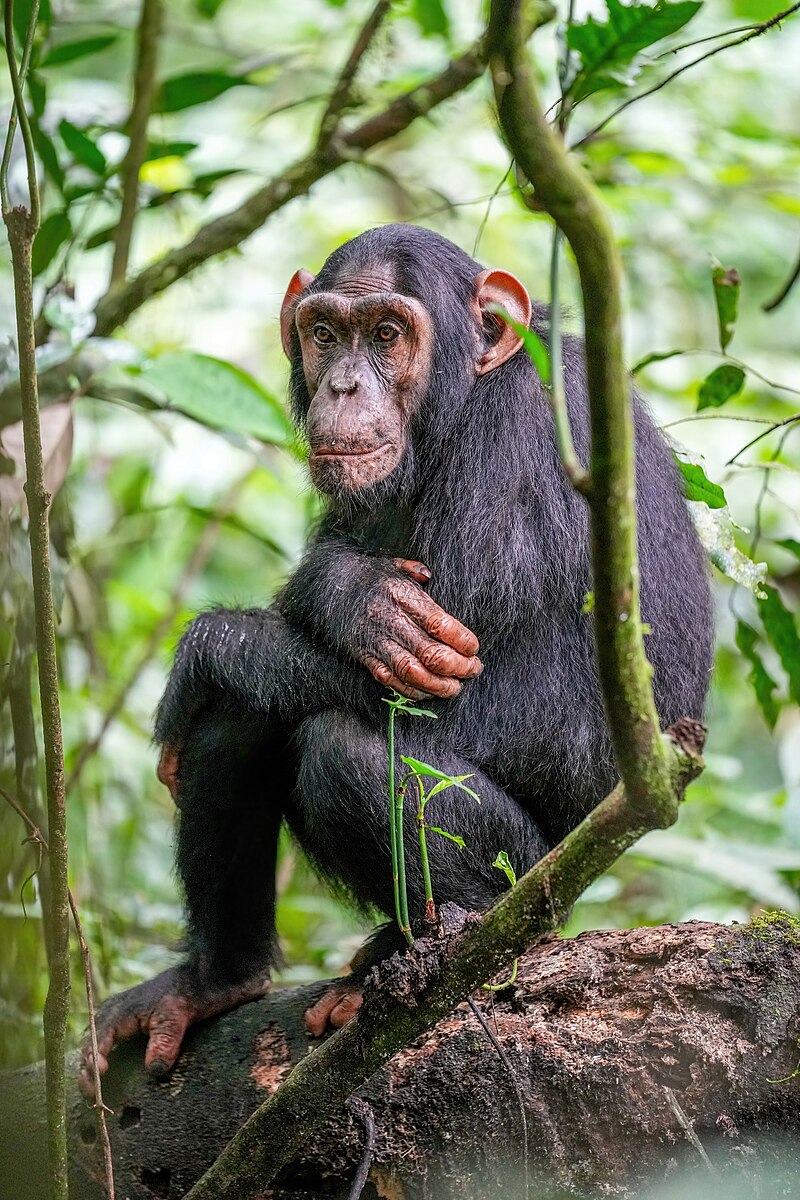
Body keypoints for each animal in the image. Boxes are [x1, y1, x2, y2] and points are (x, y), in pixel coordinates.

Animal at [77, 220, 714, 1094]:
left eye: (386, 335)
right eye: (325, 334)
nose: (346, 386)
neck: (466, 399)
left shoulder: (514, 452)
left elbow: (459, 704)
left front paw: (214, 646)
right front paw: (351, 595)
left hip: (534, 876)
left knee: (339, 747)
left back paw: (448, 942)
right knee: (242, 716)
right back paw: (216, 981)